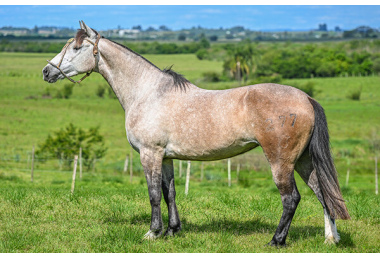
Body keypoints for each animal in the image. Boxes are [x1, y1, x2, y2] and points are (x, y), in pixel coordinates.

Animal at [42, 20, 350, 246]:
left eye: (76, 48)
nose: (46, 71)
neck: (148, 92)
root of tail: (305, 98)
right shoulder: (166, 157)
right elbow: (170, 193)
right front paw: (172, 231)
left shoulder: (150, 154)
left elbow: (153, 195)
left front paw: (152, 233)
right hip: (304, 161)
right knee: (323, 194)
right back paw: (330, 238)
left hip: (281, 162)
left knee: (291, 199)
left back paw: (276, 241)